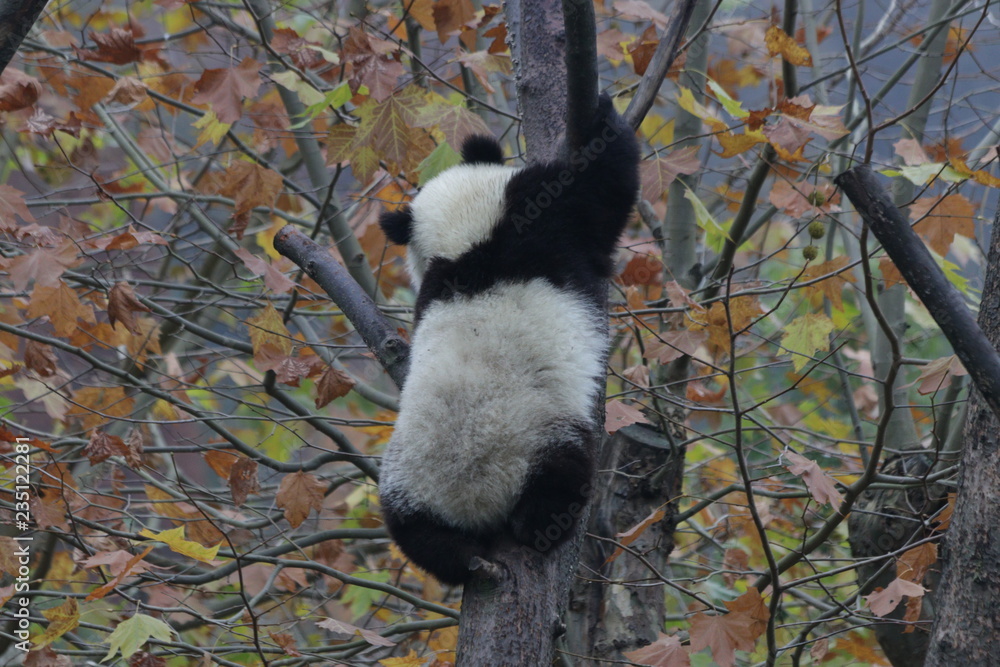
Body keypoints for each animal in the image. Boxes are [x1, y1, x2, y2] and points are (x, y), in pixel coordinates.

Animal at [377, 93, 639, 584]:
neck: (465, 242)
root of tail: (473, 502)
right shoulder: (543, 216)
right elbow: (604, 191)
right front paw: (605, 117)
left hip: (403, 486)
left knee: (418, 538)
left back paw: (466, 560)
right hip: (543, 435)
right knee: (559, 482)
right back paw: (536, 527)